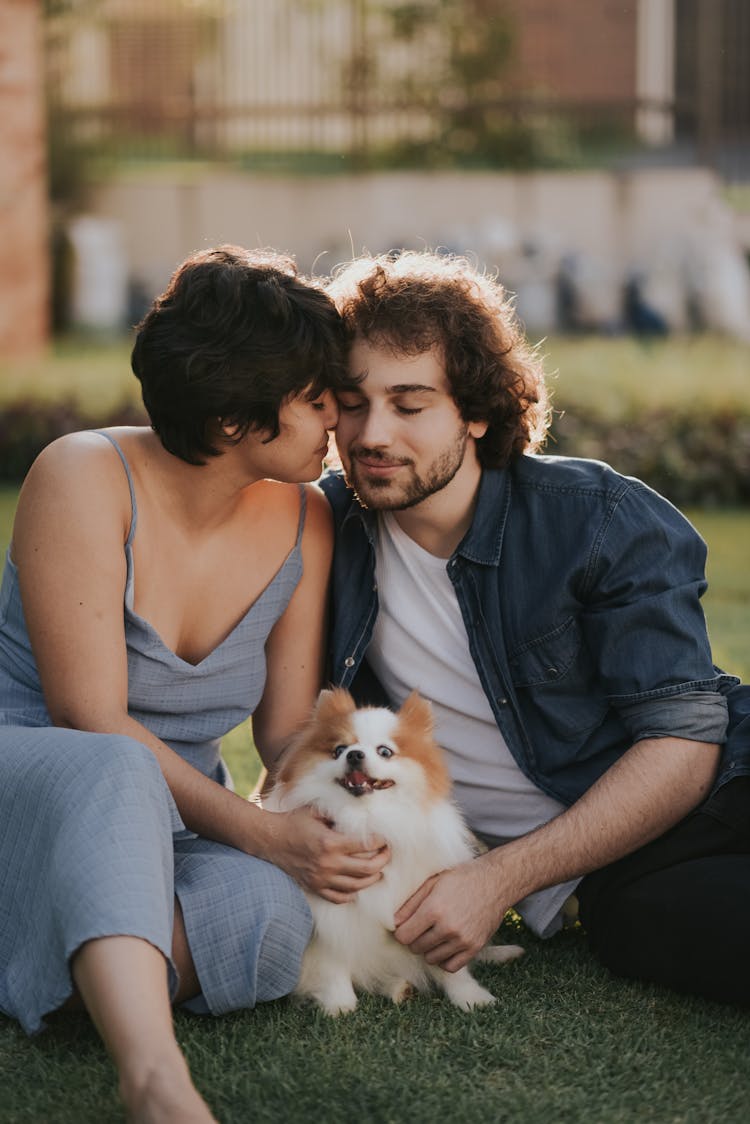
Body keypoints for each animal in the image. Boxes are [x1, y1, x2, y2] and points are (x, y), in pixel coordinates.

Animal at [268, 687, 521, 1016]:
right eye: (339, 749)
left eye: (385, 751)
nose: (354, 754)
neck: (369, 820)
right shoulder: (329, 918)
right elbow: (332, 965)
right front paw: (339, 1005)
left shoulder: (431, 914)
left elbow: (452, 967)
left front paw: (471, 997)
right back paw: (398, 988)